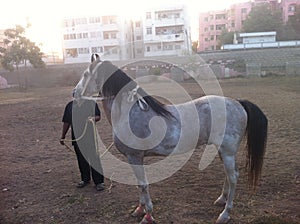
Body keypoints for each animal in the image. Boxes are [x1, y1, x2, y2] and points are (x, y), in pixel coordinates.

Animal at [74, 59, 268, 224]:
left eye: (85, 74)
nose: (74, 93)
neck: (130, 112)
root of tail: (238, 103)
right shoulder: (134, 159)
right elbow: (139, 185)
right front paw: (139, 210)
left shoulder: (134, 156)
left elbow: (143, 185)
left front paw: (148, 215)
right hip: (222, 151)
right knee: (229, 175)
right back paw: (221, 200)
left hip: (227, 151)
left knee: (233, 177)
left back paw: (225, 214)